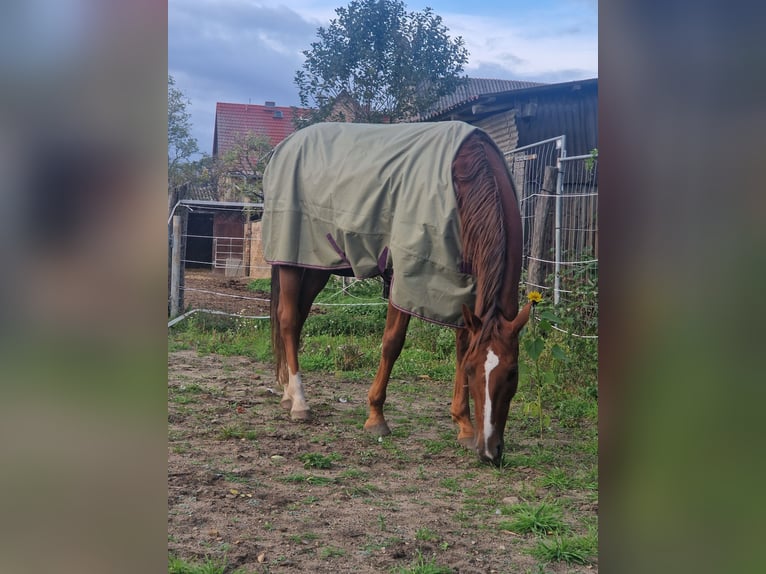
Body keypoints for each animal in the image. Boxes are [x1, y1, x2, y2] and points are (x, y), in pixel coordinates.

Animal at [262, 121, 533, 466]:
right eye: (474, 372)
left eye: (512, 373)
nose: (489, 451)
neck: (465, 178)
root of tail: (286, 146)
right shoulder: (406, 279)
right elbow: (392, 343)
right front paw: (376, 416)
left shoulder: (461, 289)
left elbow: (461, 346)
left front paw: (464, 427)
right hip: (291, 260)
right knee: (286, 321)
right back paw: (299, 402)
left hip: (316, 266)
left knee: (297, 321)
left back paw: (287, 393)